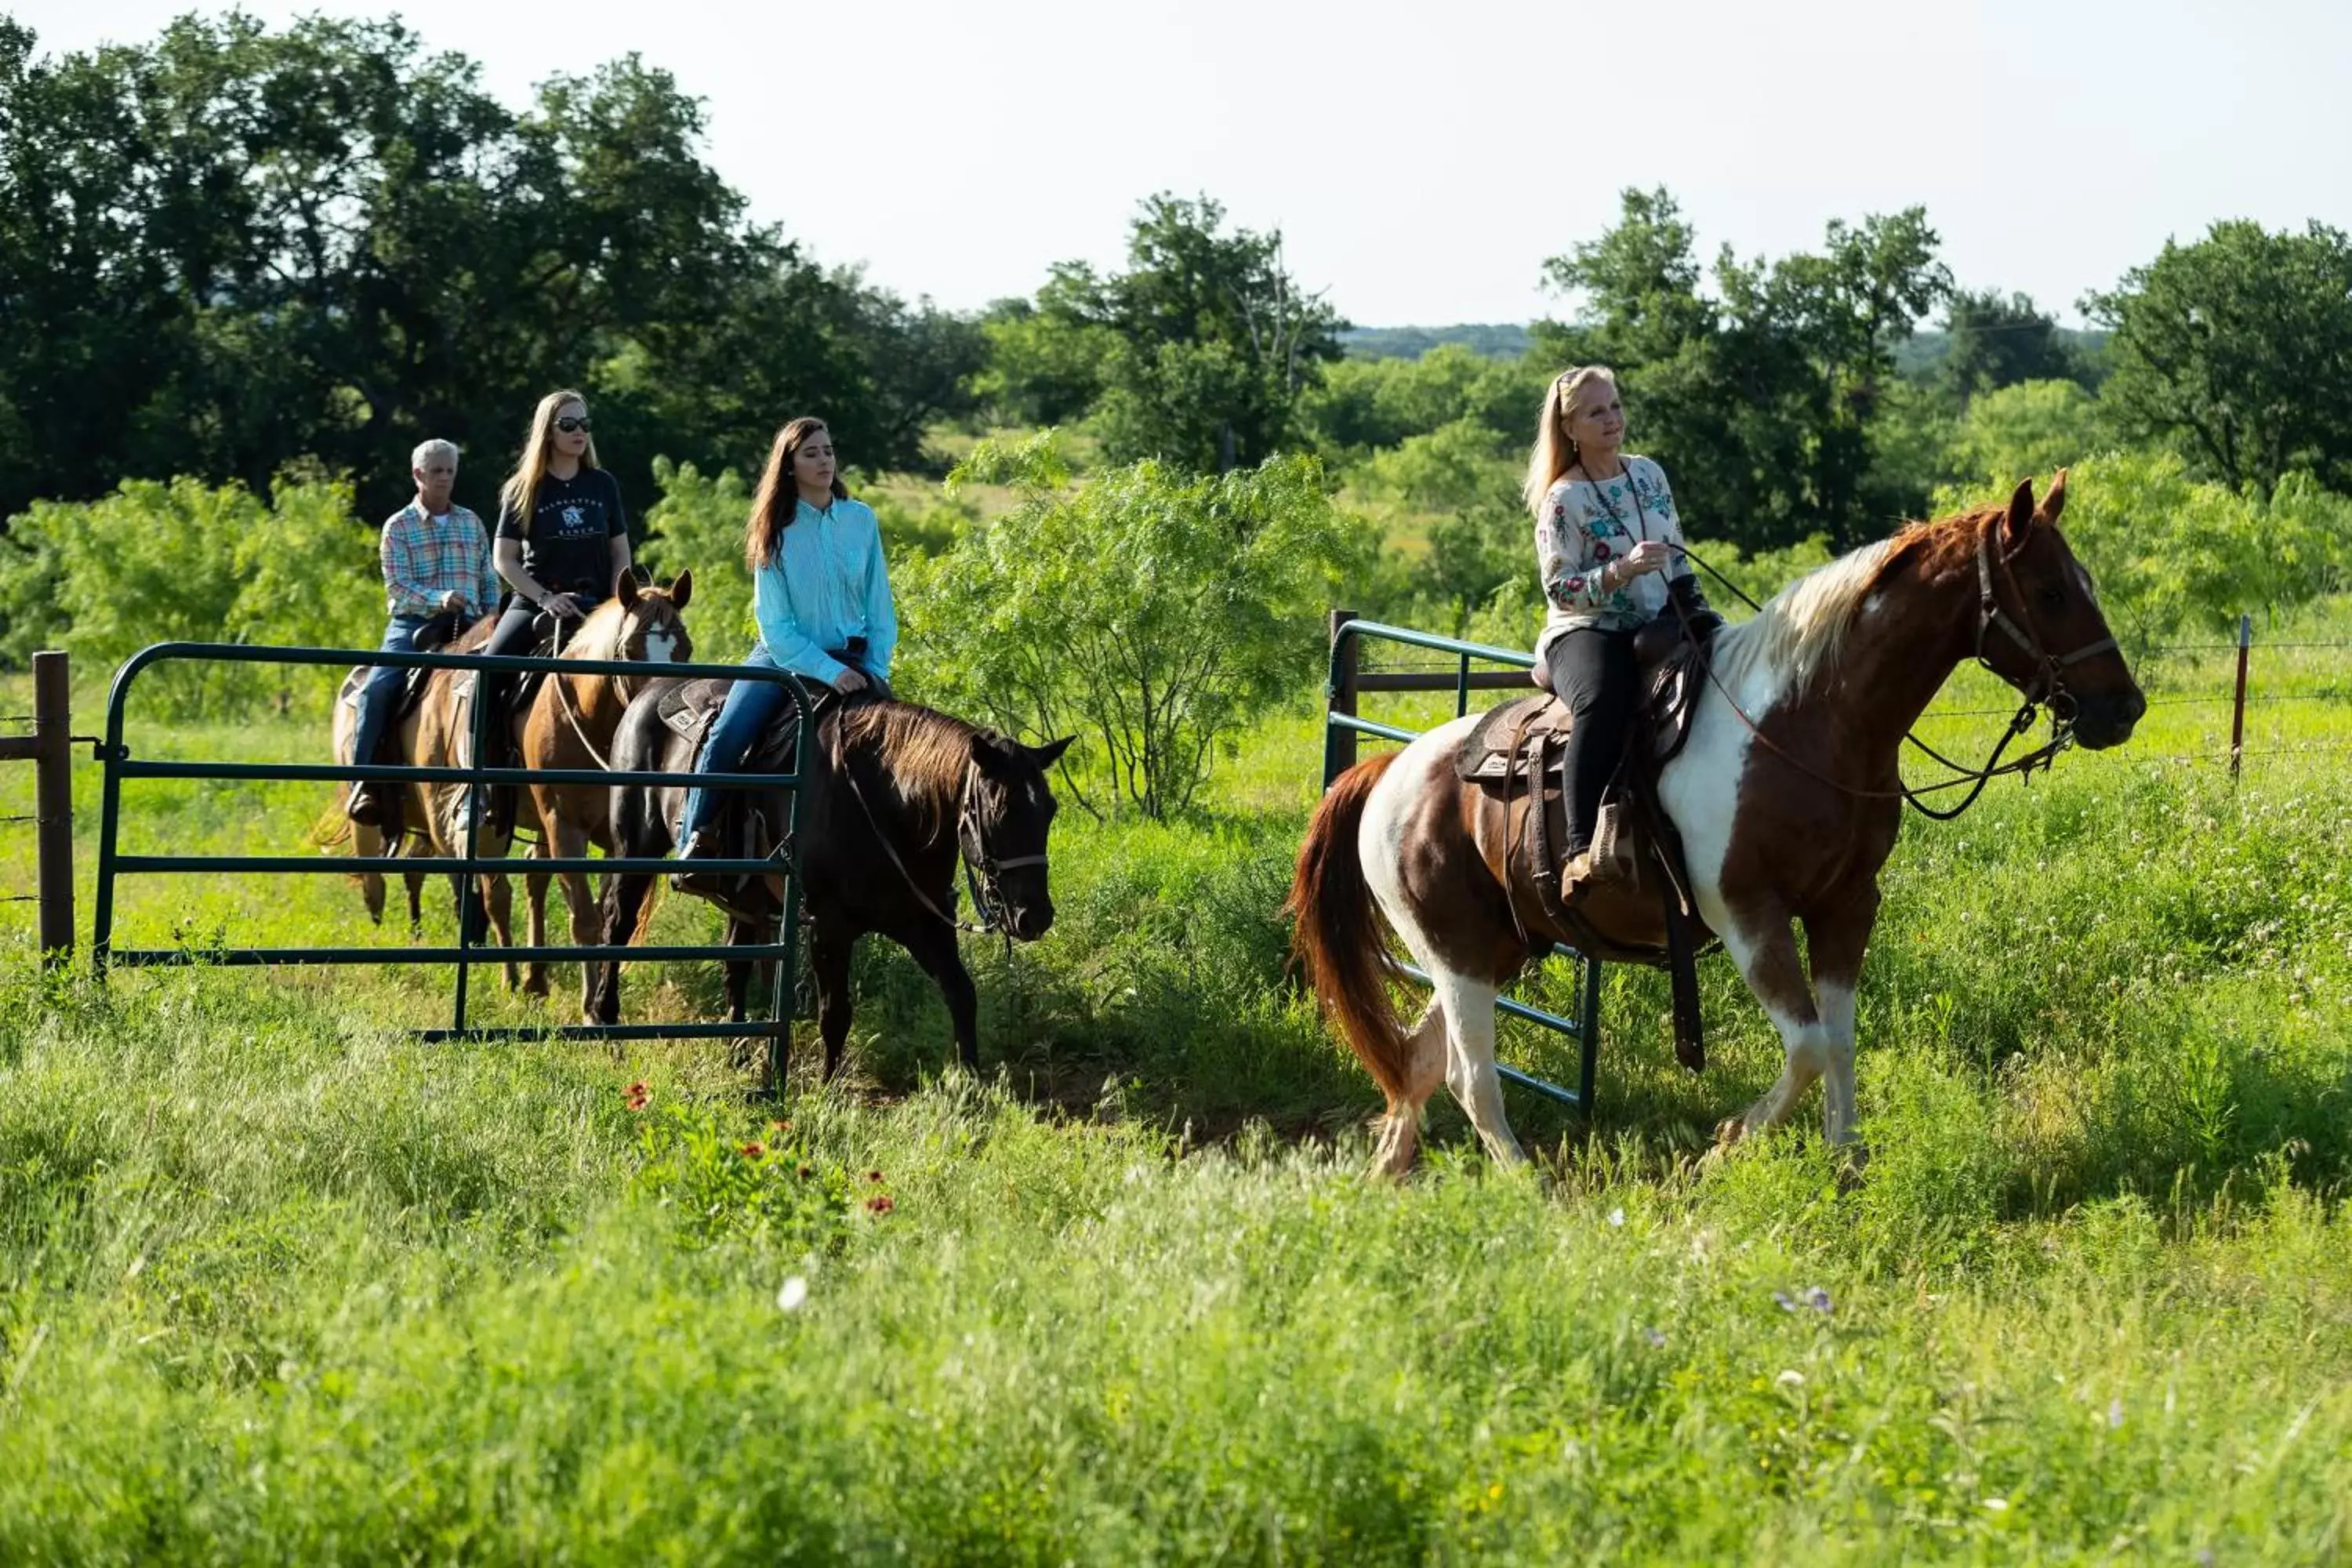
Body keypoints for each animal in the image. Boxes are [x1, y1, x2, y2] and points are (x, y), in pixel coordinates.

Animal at [593, 686, 1073, 1081]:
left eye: (1050, 809)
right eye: (999, 810)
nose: (1035, 917)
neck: (886, 805)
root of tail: (647, 695)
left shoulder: (926, 923)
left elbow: (962, 994)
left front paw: (973, 1085)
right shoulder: (829, 927)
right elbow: (835, 1013)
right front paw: (830, 1088)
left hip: (744, 894)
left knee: (735, 966)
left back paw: (739, 1053)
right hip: (635, 851)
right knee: (616, 927)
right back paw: (606, 1029)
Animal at [1289, 479, 2154, 1175]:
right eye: (2049, 591)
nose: (2124, 708)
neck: (1810, 722)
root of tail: (1388, 773)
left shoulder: (1847, 904)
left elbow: (1839, 1037)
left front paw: (1849, 1164)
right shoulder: (1746, 912)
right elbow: (1806, 1045)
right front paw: (1730, 1145)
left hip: (1491, 948)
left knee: (1421, 1057)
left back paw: (1389, 1167)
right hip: (1456, 952)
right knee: (1471, 1077)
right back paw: (1528, 1185)